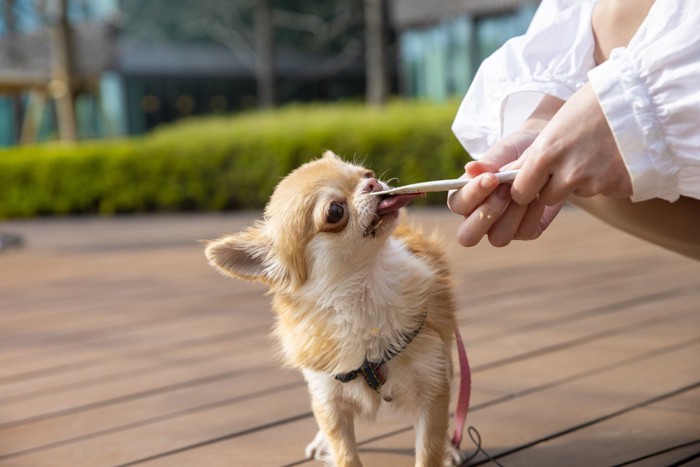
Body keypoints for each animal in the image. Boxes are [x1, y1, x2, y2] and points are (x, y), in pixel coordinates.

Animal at [205, 152, 462, 466]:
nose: (373, 184)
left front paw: (441, 450)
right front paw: (332, 447)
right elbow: (345, 453)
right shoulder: (329, 398)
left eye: (367, 173)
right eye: (335, 212)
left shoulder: (431, 385)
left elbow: (428, 450)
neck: (363, 297)